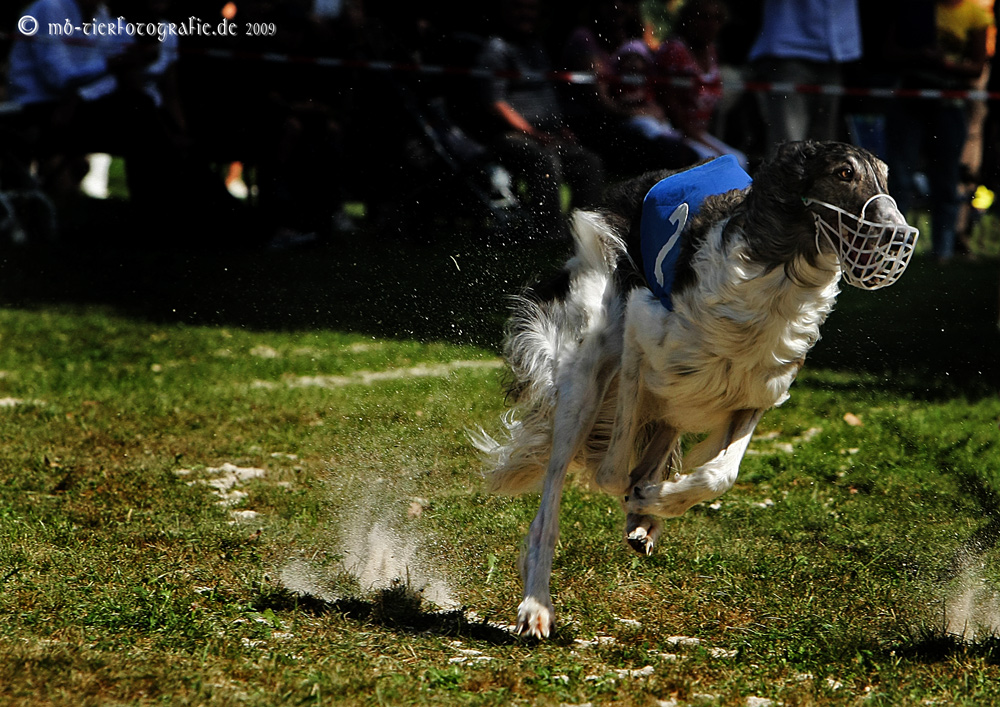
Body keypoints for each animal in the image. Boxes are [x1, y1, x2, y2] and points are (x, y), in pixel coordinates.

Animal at [472, 141, 916, 640]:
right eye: (844, 173)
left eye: (885, 177)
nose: (899, 238)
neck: (776, 280)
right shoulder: (639, 332)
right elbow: (612, 471)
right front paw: (641, 496)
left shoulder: (753, 394)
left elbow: (721, 474)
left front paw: (654, 501)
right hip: (585, 370)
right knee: (550, 507)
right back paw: (537, 605)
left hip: (669, 403)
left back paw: (643, 519)